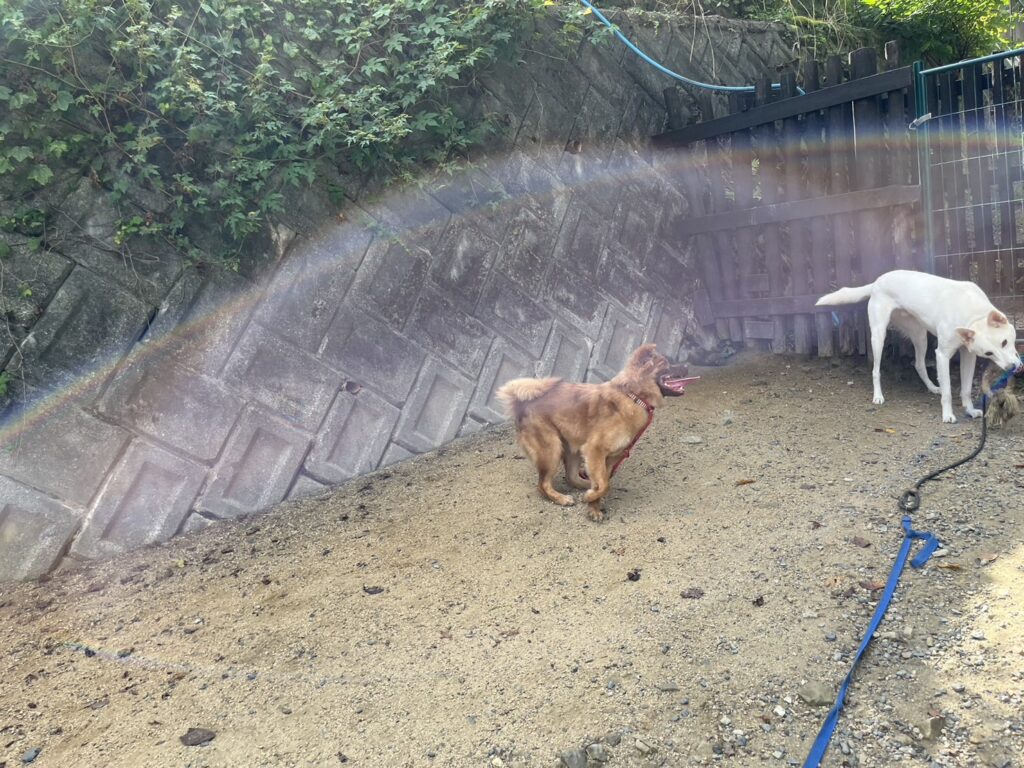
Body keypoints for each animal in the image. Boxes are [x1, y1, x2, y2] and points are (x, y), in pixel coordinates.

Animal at [496, 344, 689, 521]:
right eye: (667, 363)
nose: (687, 366)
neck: (633, 396)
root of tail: (522, 403)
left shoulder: (610, 458)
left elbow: (604, 482)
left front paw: (593, 506)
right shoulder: (595, 450)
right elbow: (604, 484)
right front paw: (590, 498)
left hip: (572, 448)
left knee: (572, 477)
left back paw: (586, 484)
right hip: (551, 450)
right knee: (542, 484)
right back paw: (561, 498)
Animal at [816, 270, 1022, 423]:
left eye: (1004, 342)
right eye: (990, 352)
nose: (1012, 367)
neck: (972, 313)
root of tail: (877, 281)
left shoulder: (968, 355)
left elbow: (965, 389)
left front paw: (970, 410)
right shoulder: (942, 355)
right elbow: (948, 392)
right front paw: (948, 415)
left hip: (920, 335)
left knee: (919, 364)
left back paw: (932, 387)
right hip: (878, 336)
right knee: (876, 370)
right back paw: (878, 396)